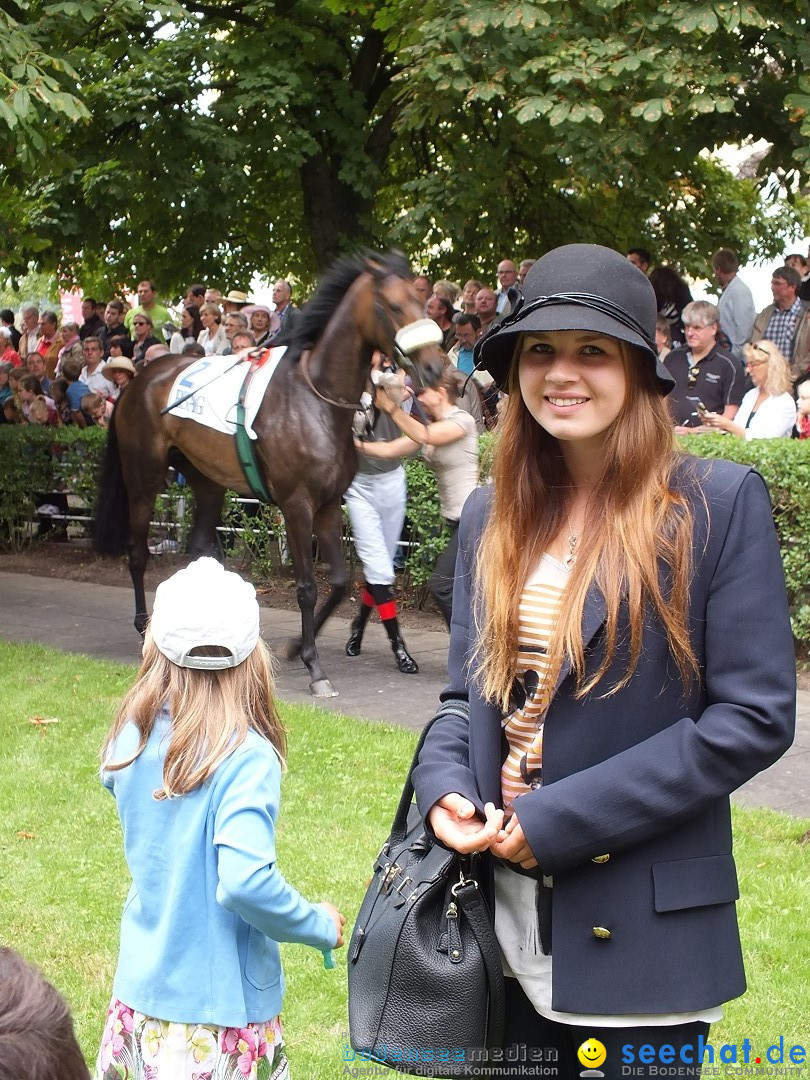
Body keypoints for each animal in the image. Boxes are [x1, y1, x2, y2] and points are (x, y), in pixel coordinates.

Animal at [94, 249, 444, 695]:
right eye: (397, 306)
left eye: (425, 302)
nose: (435, 368)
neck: (315, 397)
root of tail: (137, 381)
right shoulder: (297, 505)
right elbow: (307, 587)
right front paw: (314, 666)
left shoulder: (329, 504)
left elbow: (340, 580)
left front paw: (296, 646)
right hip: (143, 480)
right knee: (137, 554)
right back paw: (144, 630)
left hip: (207, 482)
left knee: (198, 547)